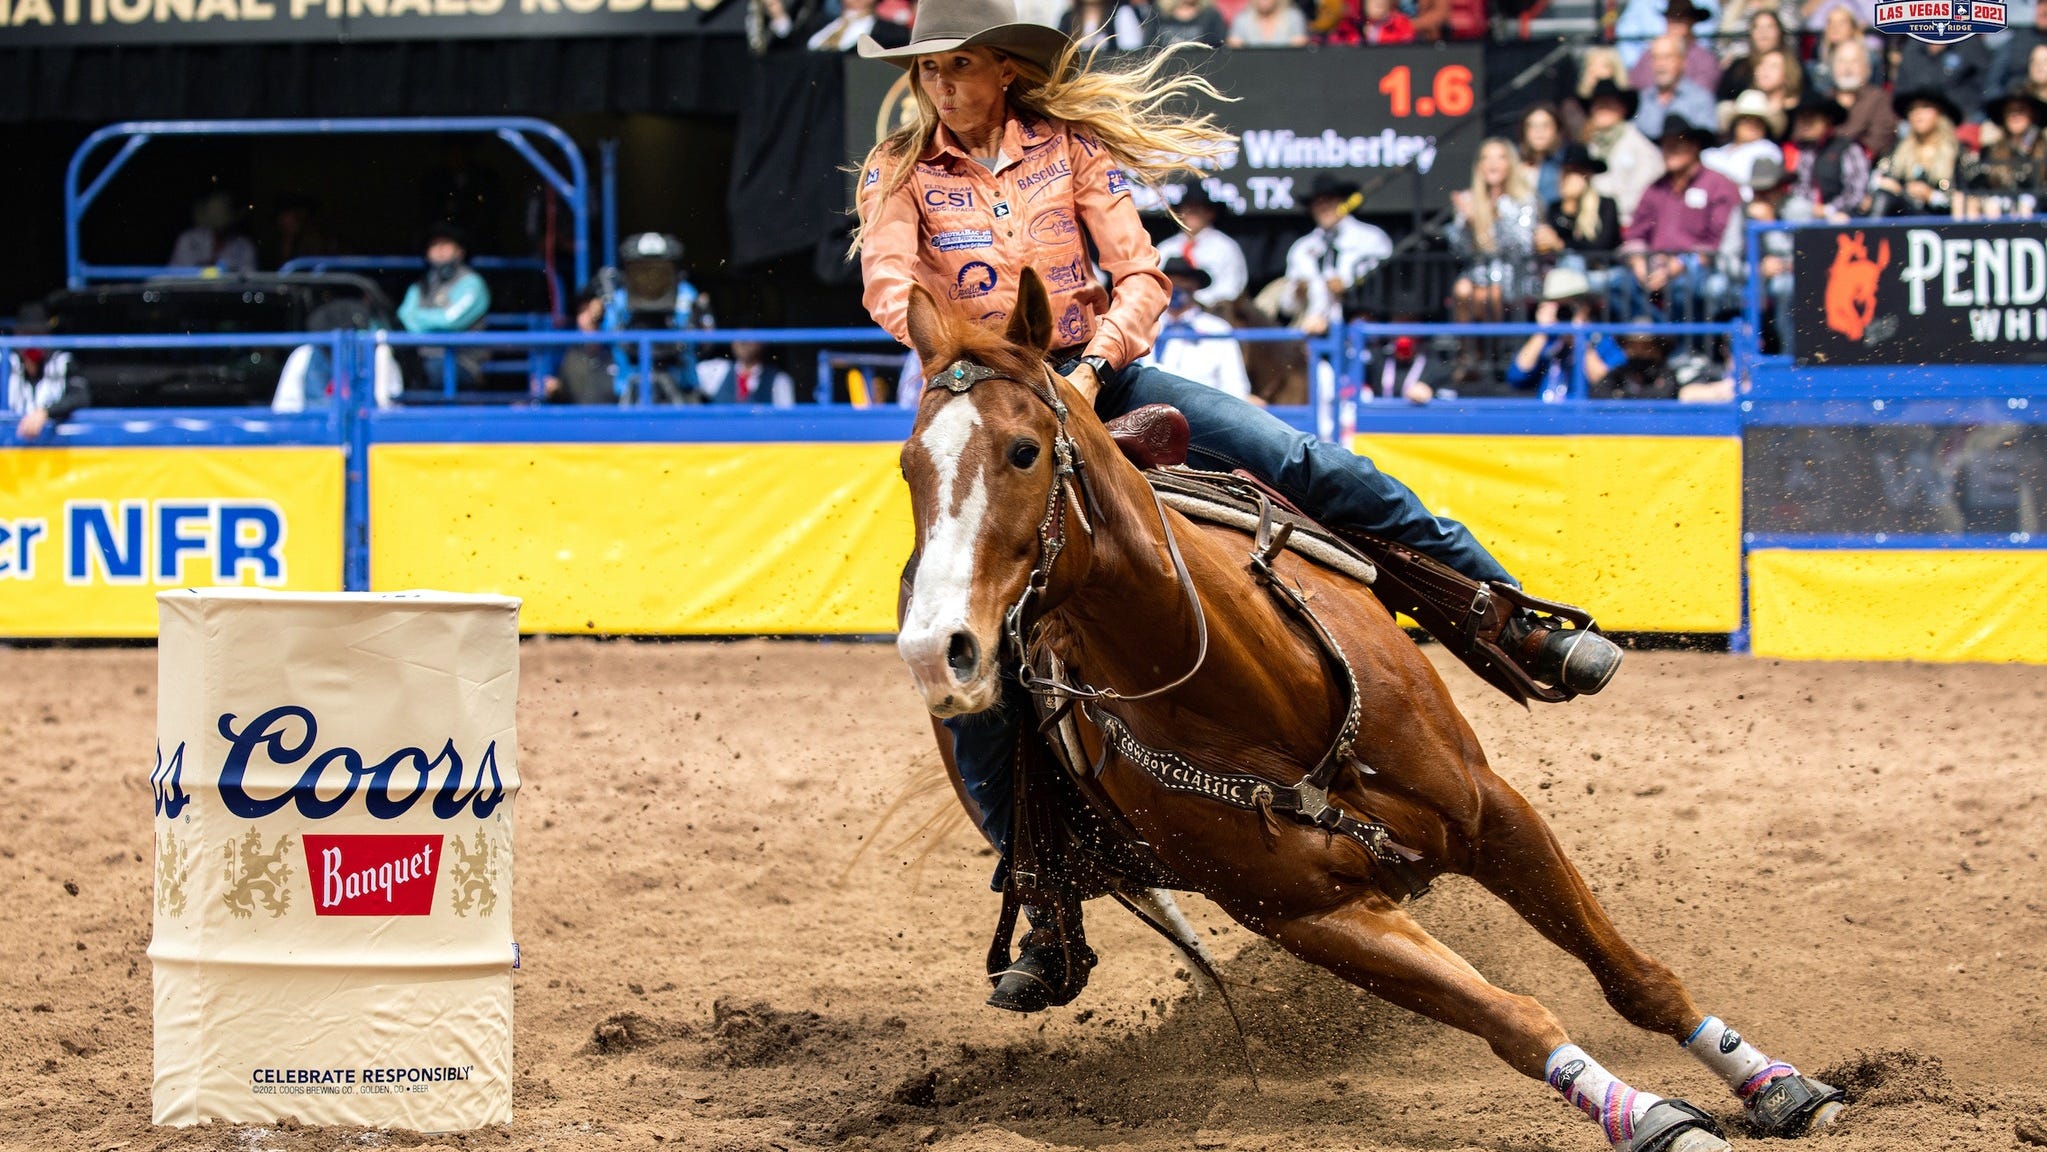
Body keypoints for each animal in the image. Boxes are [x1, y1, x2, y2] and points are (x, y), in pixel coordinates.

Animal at [896, 266, 1858, 1145]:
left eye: (1023, 450)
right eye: (909, 467)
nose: (935, 646)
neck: (1258, 697)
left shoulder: (1491, 810)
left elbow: (1631, 973)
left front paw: (1773, 1083)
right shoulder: (1312, 918)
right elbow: (1512, 1018)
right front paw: (1650, 1117)